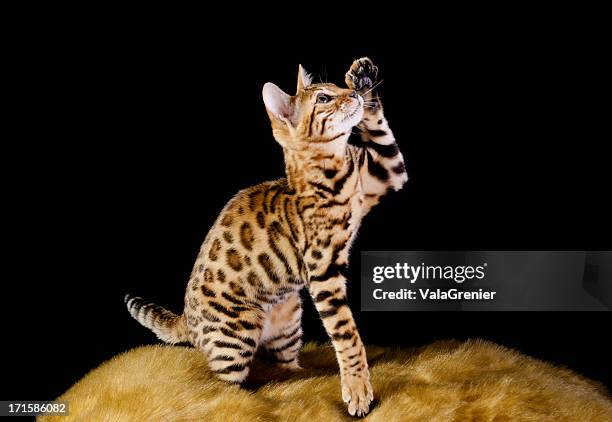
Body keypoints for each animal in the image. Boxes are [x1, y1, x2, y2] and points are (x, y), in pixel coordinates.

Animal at [125, 56, 406, 416]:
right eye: (324, 98)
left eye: (339, 87)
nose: (354, 95)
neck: (336, 171)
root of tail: (186, 318)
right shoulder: (323, 272)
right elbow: (348, 335)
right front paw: (357, 389)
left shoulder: (387, 173)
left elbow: (383, 136)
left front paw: (363, 75)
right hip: (237, 334)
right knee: (224, 382)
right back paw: (250, 396)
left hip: (288, 318)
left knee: (283, 365)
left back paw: (302, 377)